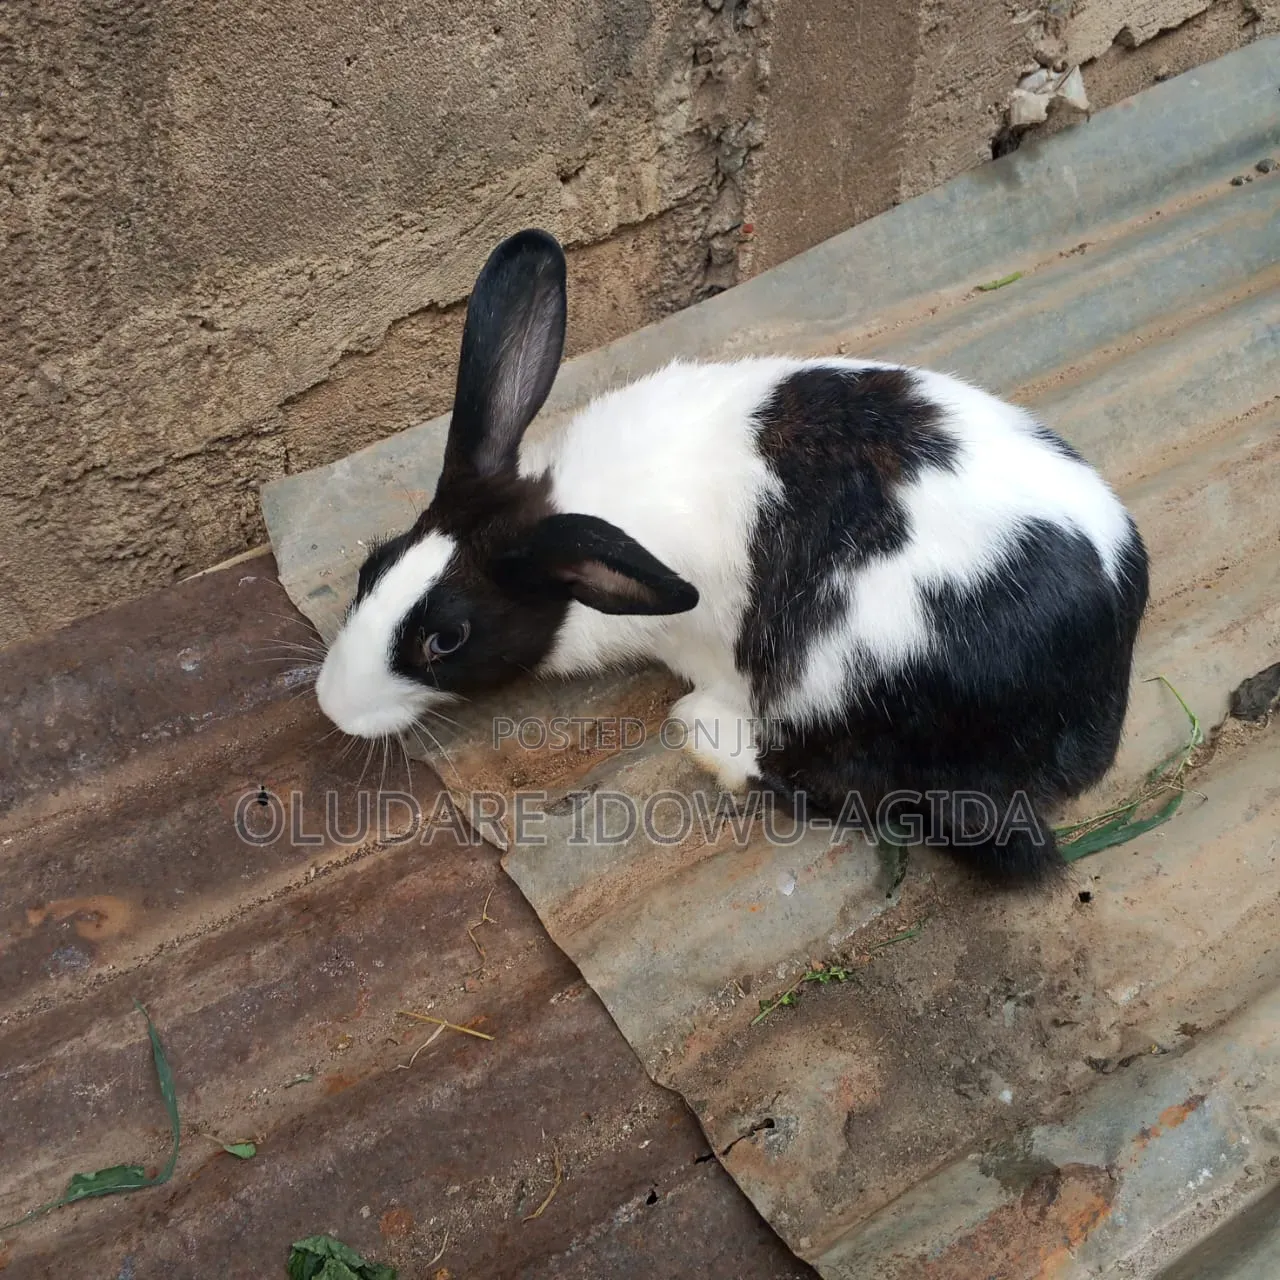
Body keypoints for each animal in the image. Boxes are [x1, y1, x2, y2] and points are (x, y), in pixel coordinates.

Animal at [315, 227, 1150, 883]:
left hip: (848, 681)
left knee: (863, 792)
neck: (566, 519)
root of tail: (1103, 680)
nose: (331, 706)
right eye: (372, 566)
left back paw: (712, 740)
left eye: (445, 638)